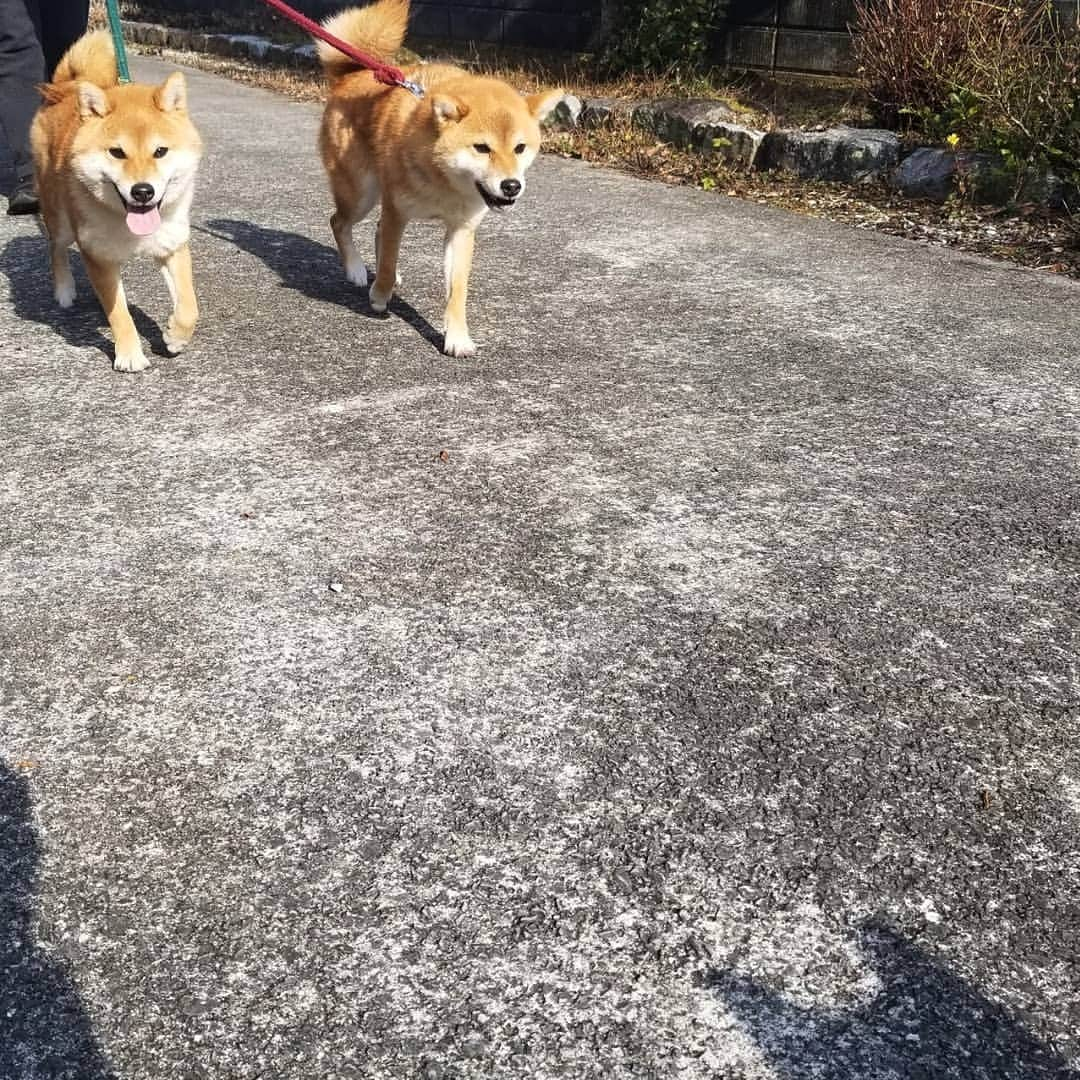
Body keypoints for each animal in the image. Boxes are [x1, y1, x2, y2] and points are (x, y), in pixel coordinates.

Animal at [31, 30, 203, 375]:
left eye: (160, 151)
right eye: (117, 152)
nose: (143, 191)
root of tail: (66, 88)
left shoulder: (172, 244)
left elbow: (189, 305)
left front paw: (175, 337)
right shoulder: (98, 256)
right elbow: (119, 315)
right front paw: (129, 355)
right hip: (61, 219)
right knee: (56, 248)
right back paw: (64, 290)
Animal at [315, 0, 561, 358]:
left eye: (520, 148)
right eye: (482, 148)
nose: (511, 186)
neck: (445, 182)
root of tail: (352, 75)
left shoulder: (461, 229)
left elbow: (457, 289)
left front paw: (457, 336)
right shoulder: (398, 211)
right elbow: (387, 261)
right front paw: (379, 296)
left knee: (373, 229)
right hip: (362, 193)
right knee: (339, 222)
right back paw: (358, 270)